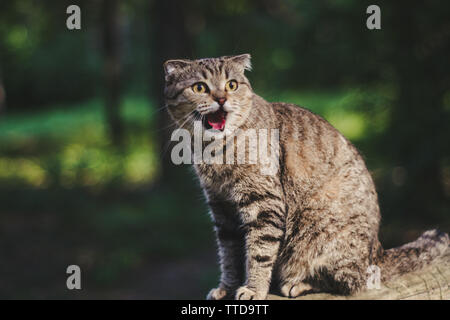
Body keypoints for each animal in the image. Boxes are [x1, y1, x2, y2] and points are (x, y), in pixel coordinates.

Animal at [163, 54, 450, 300]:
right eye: (200, 87)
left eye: (231, 85)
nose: (222, 99)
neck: (213, 151)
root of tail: (378, 253)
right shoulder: (221, 208)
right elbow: (229, 255)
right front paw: (227, 287)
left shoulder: (264, 203)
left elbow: (259, 253)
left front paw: (254, 289)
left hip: (323, 233)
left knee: (350, 282)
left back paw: (297, 284)